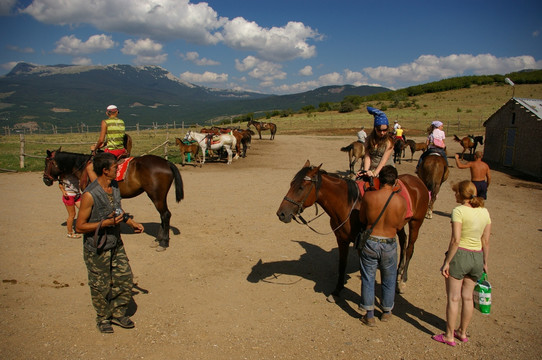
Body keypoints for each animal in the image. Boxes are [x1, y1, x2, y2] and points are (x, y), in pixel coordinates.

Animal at [43, 149, 184, 250]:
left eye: (47, 162)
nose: (45, 180)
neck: (83, 167)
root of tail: (166, 162)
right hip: (159, 196)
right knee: (162, 215)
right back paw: (158, 239)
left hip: (156, 195)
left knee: (165, 214)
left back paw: (163, 243)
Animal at [278, 161, 432, 298]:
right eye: (291, 184)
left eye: (301, 187)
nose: (281, 214)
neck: (348, 206)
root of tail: (417, 181)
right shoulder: (342, 239)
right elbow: (342, 264)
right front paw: (337, 289)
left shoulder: (362, 243)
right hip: (398, 225)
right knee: (403, 241)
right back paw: (398, 272)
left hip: (416, 223)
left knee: (410, 248)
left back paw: (402, 281)